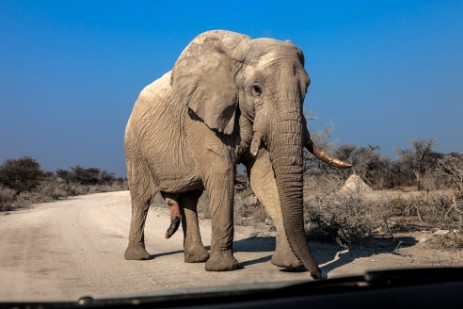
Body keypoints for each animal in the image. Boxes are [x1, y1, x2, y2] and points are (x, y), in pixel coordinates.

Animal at [124, 30, 352, 278]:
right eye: (256, 89)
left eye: (307, 88)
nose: (317, 274)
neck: (239, 53)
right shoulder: (200, 117)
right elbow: (221, 173)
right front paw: (223, 268)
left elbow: (264, 177)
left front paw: (289, 266)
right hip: (134, 145)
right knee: (141, 197)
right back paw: (138, 257)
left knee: (190, 198)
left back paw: (196, 259)